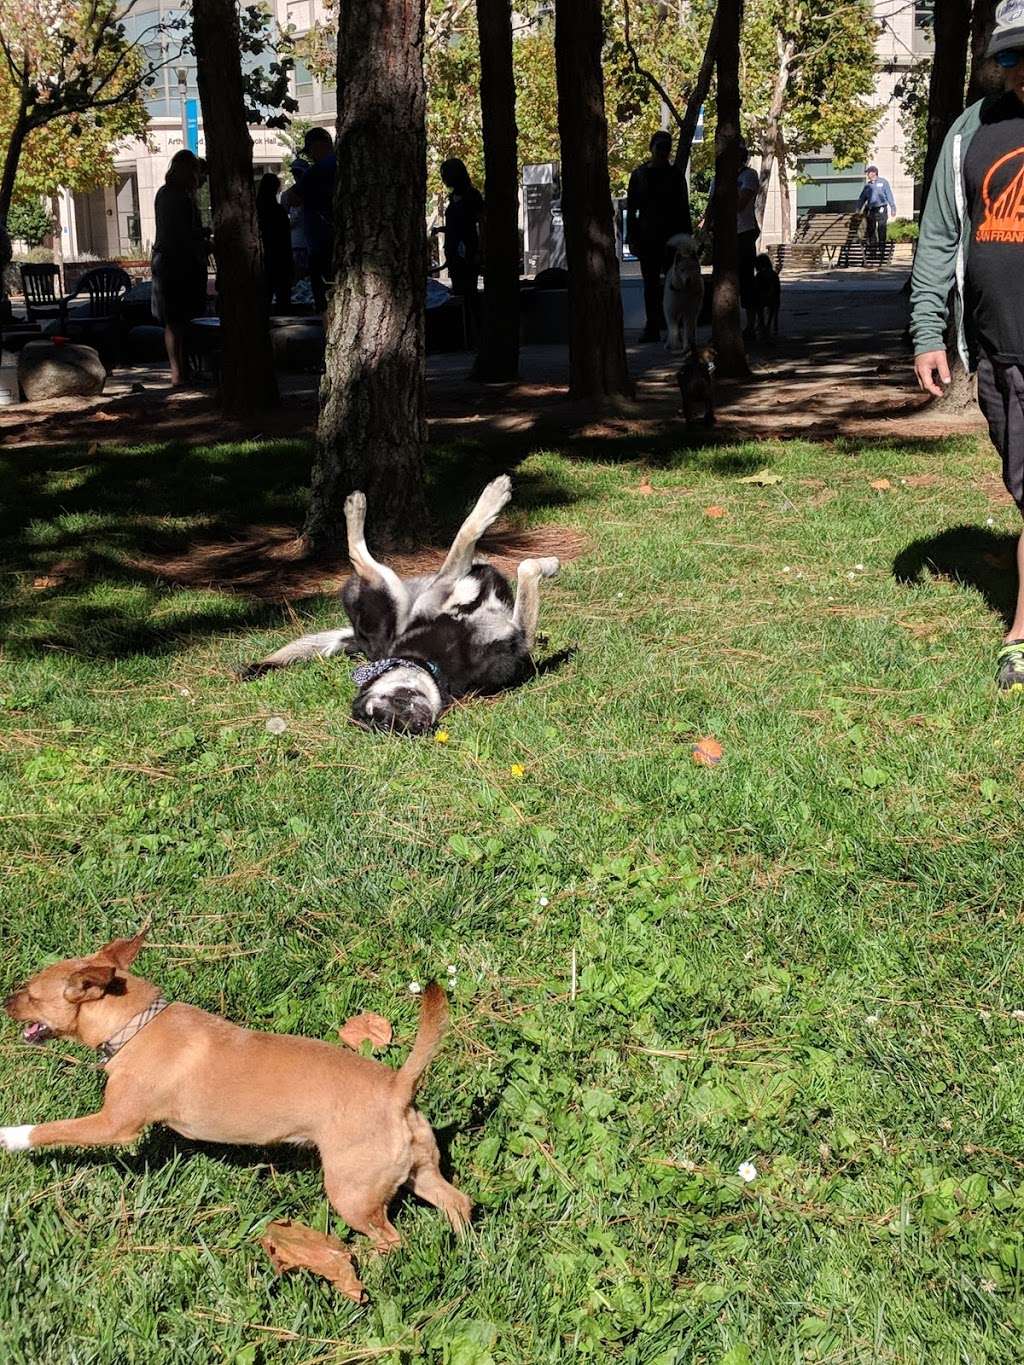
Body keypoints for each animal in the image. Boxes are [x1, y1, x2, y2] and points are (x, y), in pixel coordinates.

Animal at [0, 933, 472, 1250]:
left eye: (31, 994)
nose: (5, 1001)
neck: (136, 1024)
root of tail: (397, 1087)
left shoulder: (113, 1125)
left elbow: (52, 1129)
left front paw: (11, 1137)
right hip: (417, 1170)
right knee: (456, 1201)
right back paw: (466, 1248)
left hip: (352, 1192)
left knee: (390, 1239)